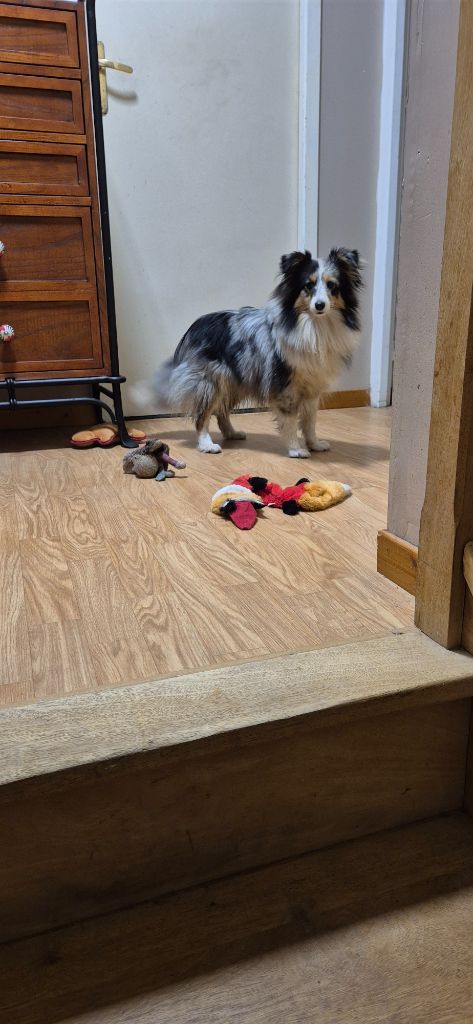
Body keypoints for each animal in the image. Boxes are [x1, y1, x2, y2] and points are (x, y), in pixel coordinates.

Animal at [142, 248, 362, 457]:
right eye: (308, 285)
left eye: (332, 285)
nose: (319, 305)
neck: (313, 326)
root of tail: (192, 329)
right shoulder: (285, 385)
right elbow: (291, 420)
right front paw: (296, 449)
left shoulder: (312, 386)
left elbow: (310, 421)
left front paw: (315, 444)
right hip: (209, 382)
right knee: (202, 415)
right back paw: (207, 445)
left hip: (233, 381)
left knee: (221, 412)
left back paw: (232, 433)